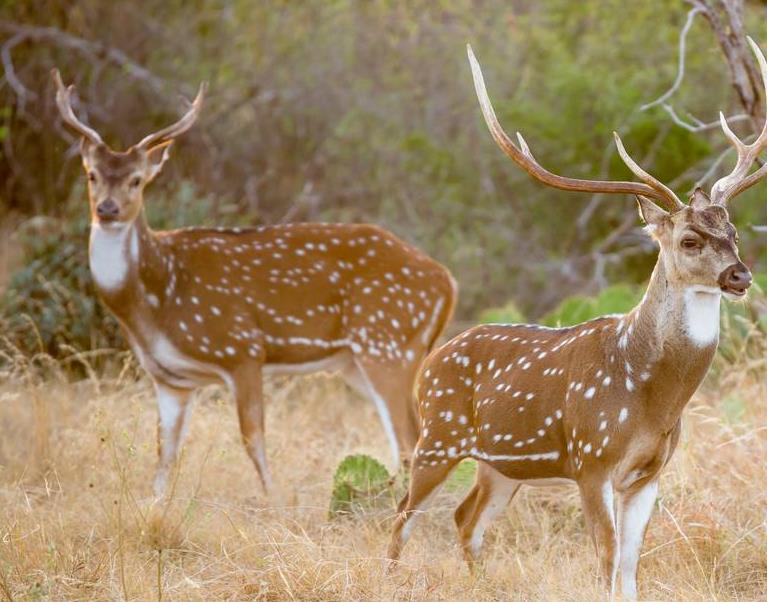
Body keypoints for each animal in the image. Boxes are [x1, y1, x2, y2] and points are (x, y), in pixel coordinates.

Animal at [52, 70, 456, 494]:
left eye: (136, 180)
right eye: (92, 174)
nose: (107, 209)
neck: (156, 301)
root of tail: (447, 282)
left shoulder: (242, 348)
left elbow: (253, 439)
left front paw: (272, 498)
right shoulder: (170, 378)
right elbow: (165, 452)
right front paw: (154, 502)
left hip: (388, 344)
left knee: (411, 441)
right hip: (357, 362)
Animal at [390, 39, 767, 596]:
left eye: (734, 233)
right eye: (689, 240)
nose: (740, 276)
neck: (651, 397)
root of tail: (429, 362)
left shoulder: (650, 472)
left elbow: (630, 567)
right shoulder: (593, 459)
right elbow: (607, 560)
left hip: (501, 466)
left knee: (465, 518)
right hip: (438, 436)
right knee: (402, 516)